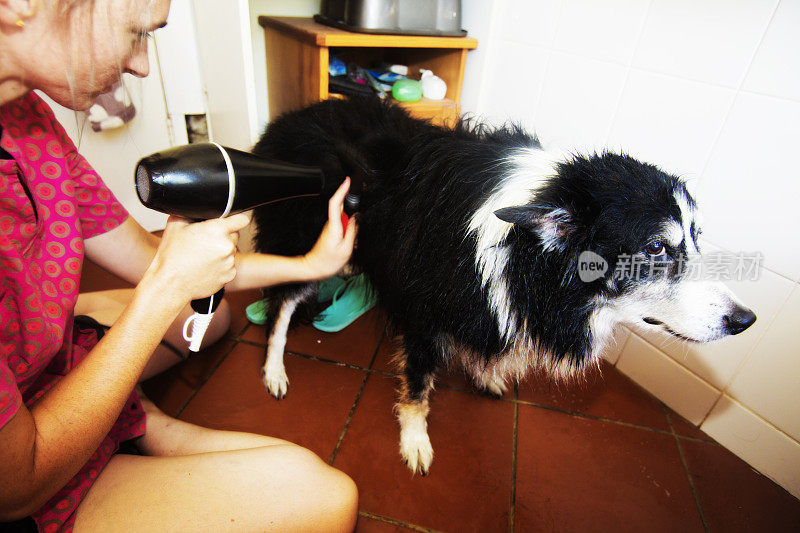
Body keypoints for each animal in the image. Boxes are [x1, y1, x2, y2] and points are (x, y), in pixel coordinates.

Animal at [252, 95, 756, 474]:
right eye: (655, 249)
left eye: (697, 237)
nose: (744, 320)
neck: (525, 252)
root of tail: (282, 122)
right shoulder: (424, 314)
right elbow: (418, 386)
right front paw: (415, 441)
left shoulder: (485, 303)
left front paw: (484, 375)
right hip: (305, 246)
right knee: (279, 308)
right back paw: (274, 371)